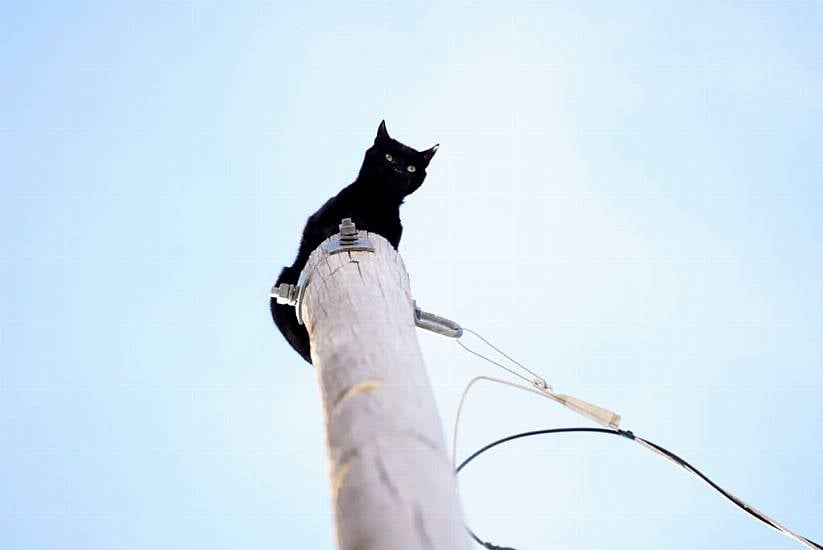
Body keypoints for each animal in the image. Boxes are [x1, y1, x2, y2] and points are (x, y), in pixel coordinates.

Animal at [270, 121, 438, 364]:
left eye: (411, 168)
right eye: (388, 157)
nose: (397, 170)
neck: (376, 201)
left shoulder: (393, 236)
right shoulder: (318, 221)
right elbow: (335, 222)